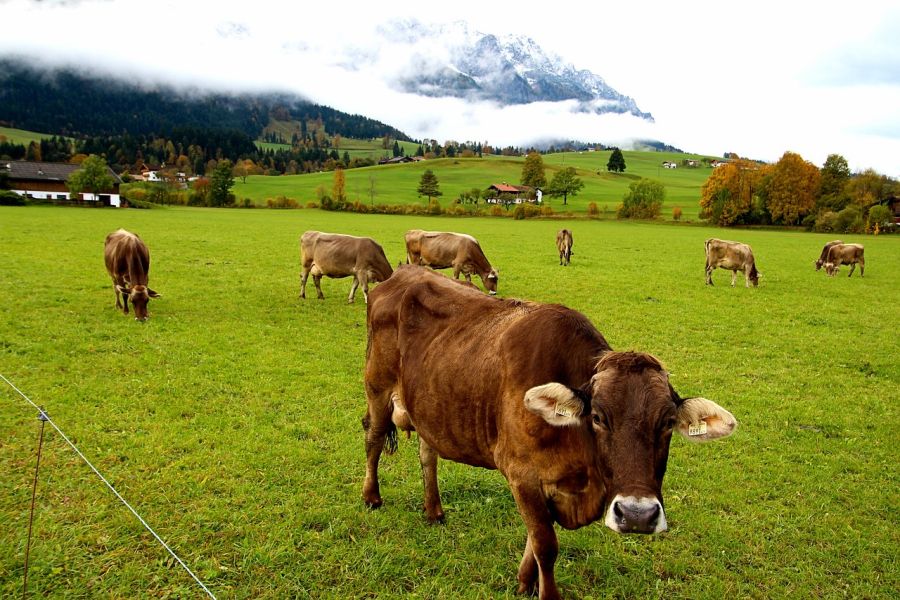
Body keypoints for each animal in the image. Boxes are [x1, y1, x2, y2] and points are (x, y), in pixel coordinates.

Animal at [362, 266, 737, 600]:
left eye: (668, 422)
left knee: (428, 454)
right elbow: (545, 543)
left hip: (429, 407)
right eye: (597, 417)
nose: (637, 515)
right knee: (373, 440)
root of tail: (402, 273)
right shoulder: (521, 474)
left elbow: (536, 535)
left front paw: (526, 582)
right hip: (377, 390)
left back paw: (434, 510)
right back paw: (372, 496)